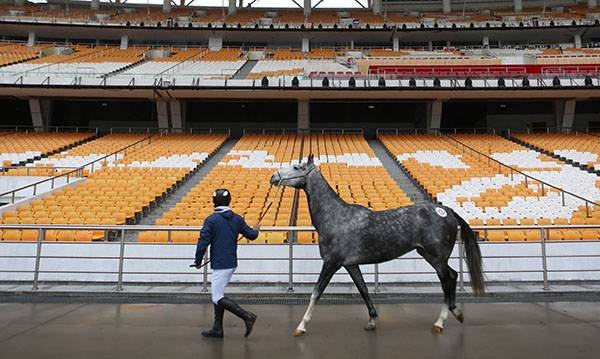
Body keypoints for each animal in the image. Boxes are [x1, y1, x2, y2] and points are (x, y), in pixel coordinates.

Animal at [270, 155, 486, 338]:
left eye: (296, 167)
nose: (273, 177)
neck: (336, 216)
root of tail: (447, 210)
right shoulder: (351, 265)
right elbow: (363, 289)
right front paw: (372, 321)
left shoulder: (331, 263)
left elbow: (316, 293)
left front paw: (301, 326)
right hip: (429, 254)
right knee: (452, 277)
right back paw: (453, 313)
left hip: (437, 257)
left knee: (448, 280)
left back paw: (442, 321)